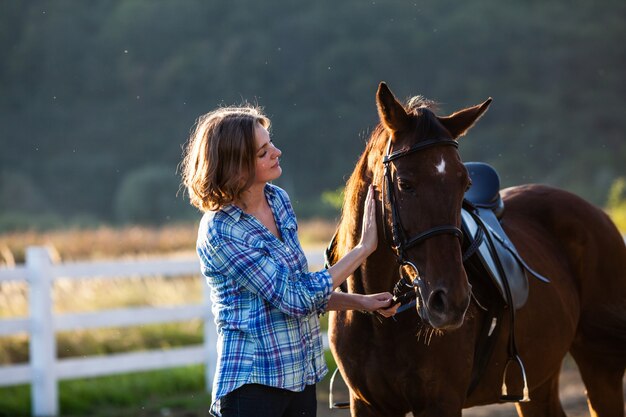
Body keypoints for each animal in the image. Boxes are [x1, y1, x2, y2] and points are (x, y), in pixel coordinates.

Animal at [326, 82, 624, 416]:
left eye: (465, 183)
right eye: (404, 183)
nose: (451, 301)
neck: (380, 320)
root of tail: (599, 215)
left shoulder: (441, 401)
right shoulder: (366, 404)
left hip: (601, 366)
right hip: (540, 379)